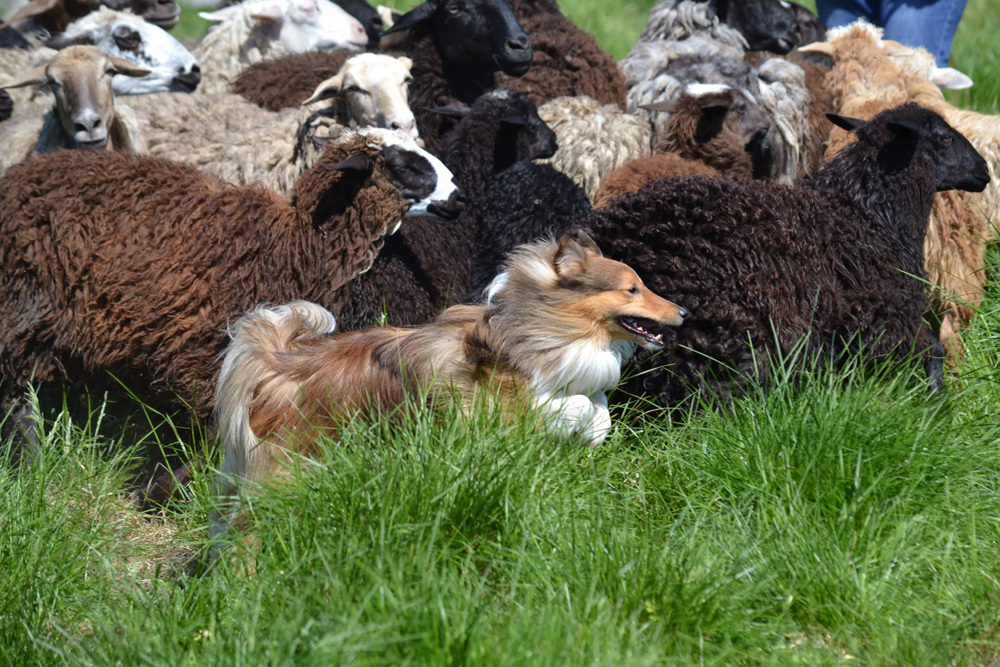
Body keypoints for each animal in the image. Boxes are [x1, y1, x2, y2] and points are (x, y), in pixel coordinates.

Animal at [0, 126, 458, 454]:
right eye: (402, 166)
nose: (458, 197)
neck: (295, 241)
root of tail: (15, 178)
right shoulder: (208, 350)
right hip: (21, 304)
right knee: (15, 398)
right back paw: (29, 459)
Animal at [211, 232, 688, 540]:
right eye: (631, 289)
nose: (683, 311)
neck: (539, 326)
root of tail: (275, 362)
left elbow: (598, 408)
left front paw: (590, 431)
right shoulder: (499, 413)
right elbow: (575, 405)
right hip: (284, 473)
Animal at [584, 104, 992, 408]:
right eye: (943, 137)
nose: (984, 170)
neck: (867, 215)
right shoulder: (888, 319)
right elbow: (934, 352)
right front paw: (939, 408)